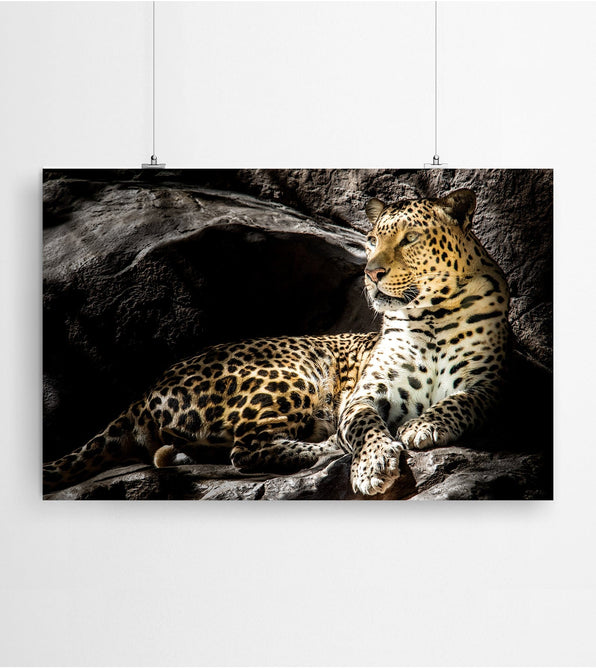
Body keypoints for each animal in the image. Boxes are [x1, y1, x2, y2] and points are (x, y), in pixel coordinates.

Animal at [43, 187, 509, 497]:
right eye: (374, 239)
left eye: (410, 238)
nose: (371, 272)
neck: (431, 315)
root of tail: (145, 391)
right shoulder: (365, 394)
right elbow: (364, 425)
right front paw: (373, 465)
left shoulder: (489, 386)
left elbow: (460, 401)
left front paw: (423, 425)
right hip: (292, 374)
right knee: (246, 450)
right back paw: (324, 447)